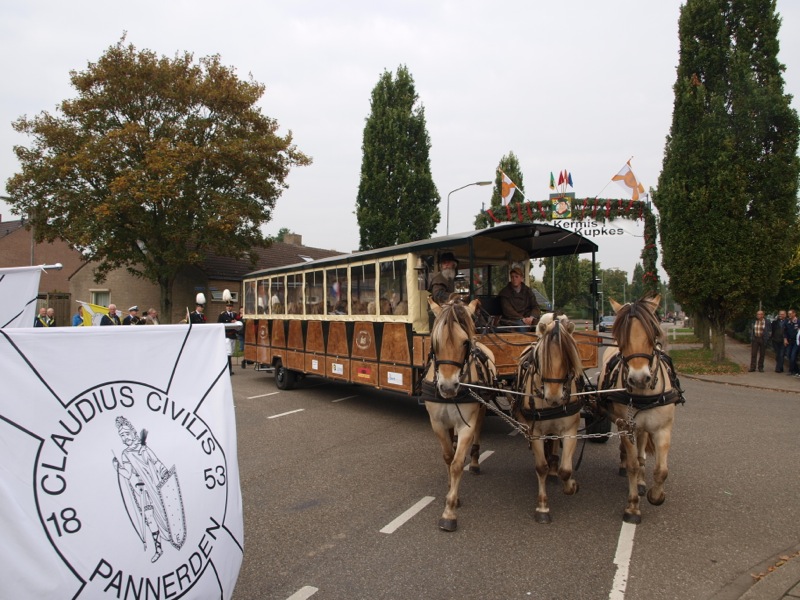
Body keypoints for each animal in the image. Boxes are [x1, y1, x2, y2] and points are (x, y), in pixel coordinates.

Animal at [422, 298, 496, 532]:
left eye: (464, 342)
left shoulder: (467, 425)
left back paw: (474, 462)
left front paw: (450, 510)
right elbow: (448, 456)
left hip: (482, 408)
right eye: (435, 341)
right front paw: (450, 488)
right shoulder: (437, 423)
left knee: (478, 433)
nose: (448, 387)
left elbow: (456, 464)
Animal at [516, 314, 584, 524]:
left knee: (554, 445)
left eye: (568, 356)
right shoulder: (535, 432)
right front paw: (542, 507)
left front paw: (571, 486)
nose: (553, 397)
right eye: (540, 358)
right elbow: (540, 467)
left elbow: (566, 469)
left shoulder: (570, 430)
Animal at [596, 296, 684, 524]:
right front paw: (633, 507)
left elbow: (661, 470)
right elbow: (633, 465)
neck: (644, 394)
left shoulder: (663, 429)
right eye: (620, 335)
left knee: (643, 446)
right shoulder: (626, 426)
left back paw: (643, 482)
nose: (638, 378)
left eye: (652, 332)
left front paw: (655, 495)